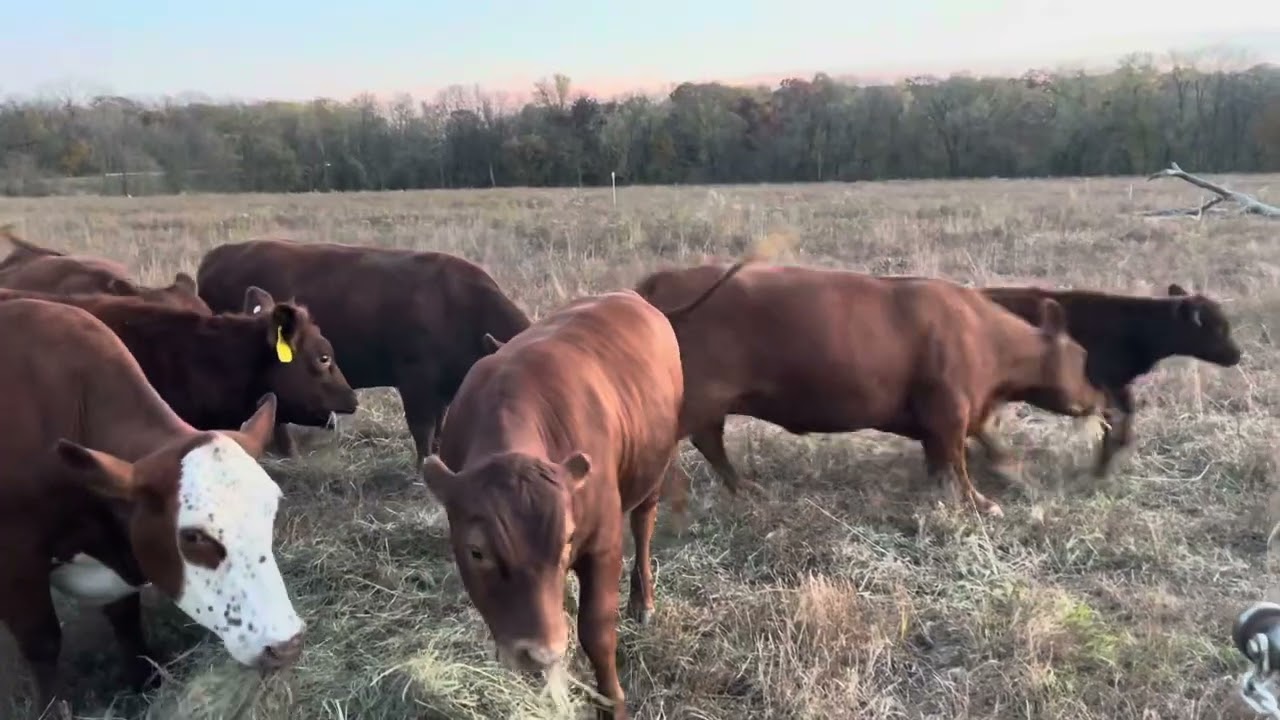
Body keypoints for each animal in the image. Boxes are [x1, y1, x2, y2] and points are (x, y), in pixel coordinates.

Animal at [0, 298, 305, 718]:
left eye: (271, 513)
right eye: (193, 537)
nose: (285, 644)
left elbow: (127, 620)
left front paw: (144, 683)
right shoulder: (16, 560)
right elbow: (42, 642)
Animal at [195, 238, 532, 460]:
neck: (458, 306)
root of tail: (217, 254)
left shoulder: (443, 388)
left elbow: (439, 426)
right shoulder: (416, 381)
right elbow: (423, 428)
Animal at [419, 260, 748, 720]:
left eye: (566, 542)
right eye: (477, 552)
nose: (539, 653)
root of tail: (633, 298)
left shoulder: (603, 545)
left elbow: (597, 631)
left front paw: (613, 703)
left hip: (655, 465)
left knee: (644, 524)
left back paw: (642, 600)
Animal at [633, 262, 1107, 518]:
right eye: (1083, 356)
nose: (1100, 399)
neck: (987, 336)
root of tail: (666, 278)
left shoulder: (950, 415)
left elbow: (963, 452)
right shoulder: (950, 407)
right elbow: (958, 460)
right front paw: (980, 502)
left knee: (710, 441)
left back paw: (745, 489)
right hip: (694, 398)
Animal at [979, 283, 1242, 479]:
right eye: (1216, 328)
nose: (1237, 355)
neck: (1135, 327)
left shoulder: (1118, 386)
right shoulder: (1106, 385)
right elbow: (1115, 421)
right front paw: (1101, 469)